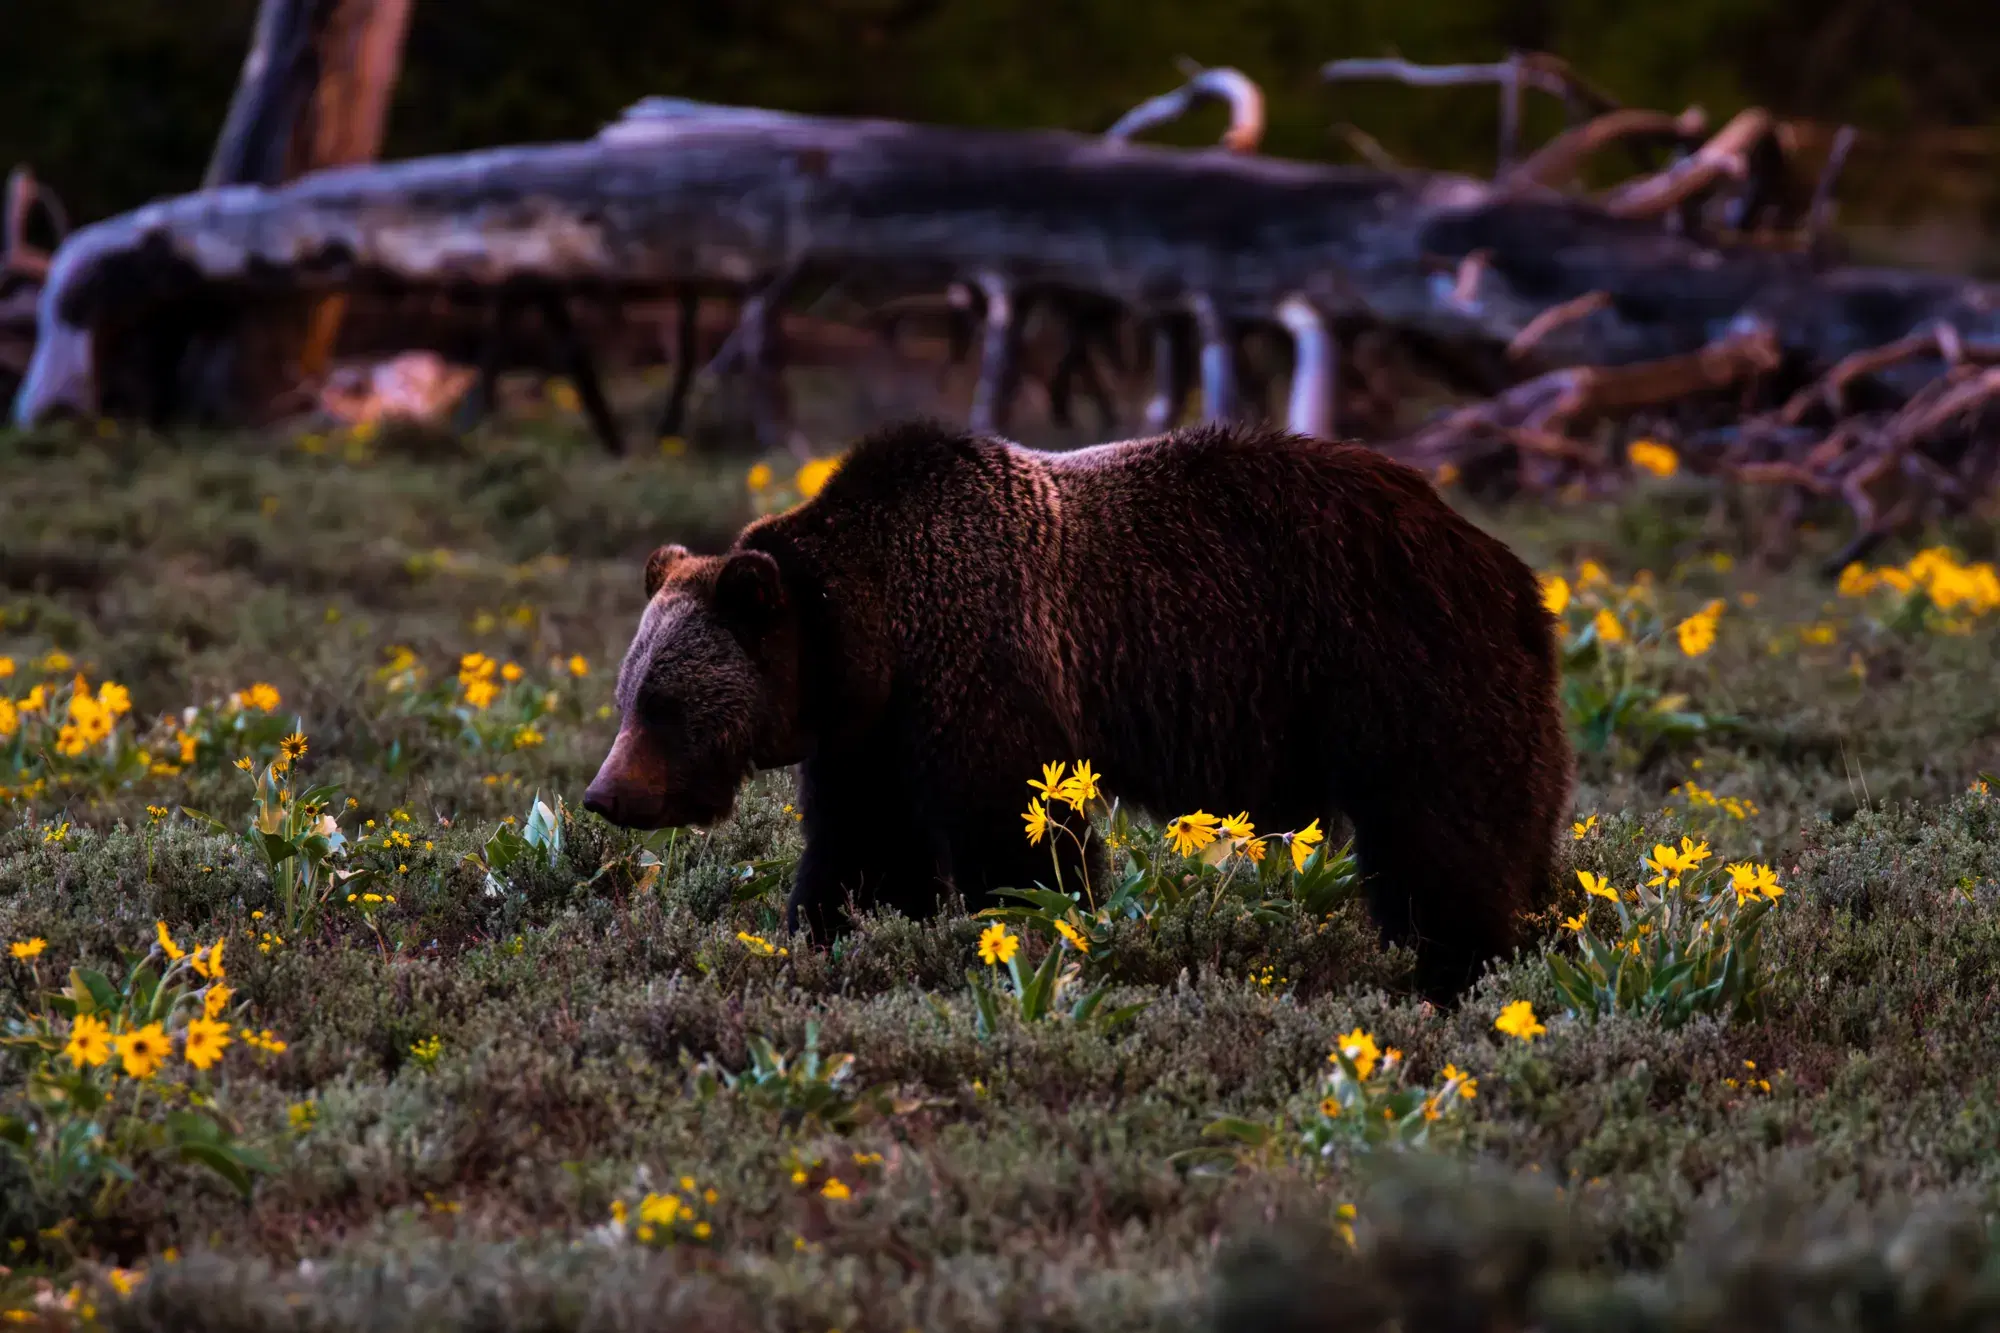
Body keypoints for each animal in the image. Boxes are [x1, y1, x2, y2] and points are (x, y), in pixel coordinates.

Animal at [583, 420, 1573, 998]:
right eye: (627, 695)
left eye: (665, 704)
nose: (605, 794)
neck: (872, 630)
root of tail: (1512, 572)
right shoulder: (872, 734)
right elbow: (863, 851)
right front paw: (828, 936)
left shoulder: (980, 672)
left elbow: (1018, 835)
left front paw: (1038, 931)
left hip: (1394, 667)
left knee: (1439, 835)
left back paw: (1452, 967)